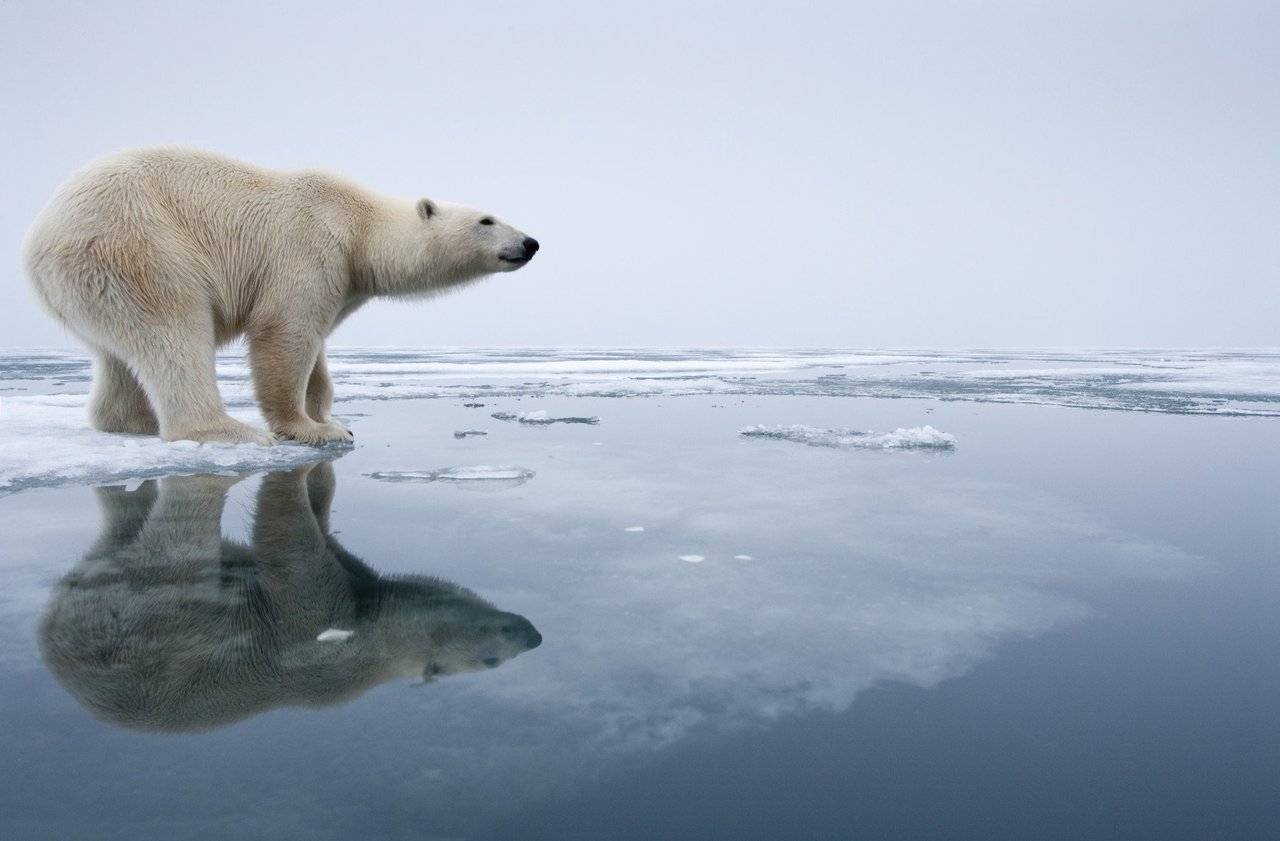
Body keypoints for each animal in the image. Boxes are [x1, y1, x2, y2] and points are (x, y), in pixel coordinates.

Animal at [22, 148, 537, 445]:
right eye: (487, 220)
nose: (530, 242)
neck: (359, 225)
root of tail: (36, 242)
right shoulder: (310, 245)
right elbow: (285, 333)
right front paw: (312, 429)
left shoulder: (342, 280)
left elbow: (318, 349)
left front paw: (333, 417)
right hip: (137, 246)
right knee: (174, 330)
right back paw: (228, 431)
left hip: (92, 282)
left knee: (118, 354)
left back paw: (135, 422)